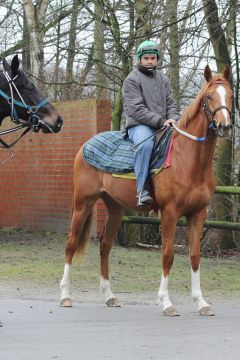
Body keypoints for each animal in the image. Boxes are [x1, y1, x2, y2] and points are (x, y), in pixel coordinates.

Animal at [59, 64, 232, 316]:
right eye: (209, 96)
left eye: (231, 95)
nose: (225, 126)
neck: (188, 159)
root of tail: (85, 147)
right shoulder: (169, 213)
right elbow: (168, 255)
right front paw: (166, 302)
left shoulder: (198, 213)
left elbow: (195, 255)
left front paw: (201, 302)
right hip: (83, 204)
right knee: (71, 243)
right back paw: (65, 296)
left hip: (115, 210)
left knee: (105, 246)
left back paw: (109, 296)